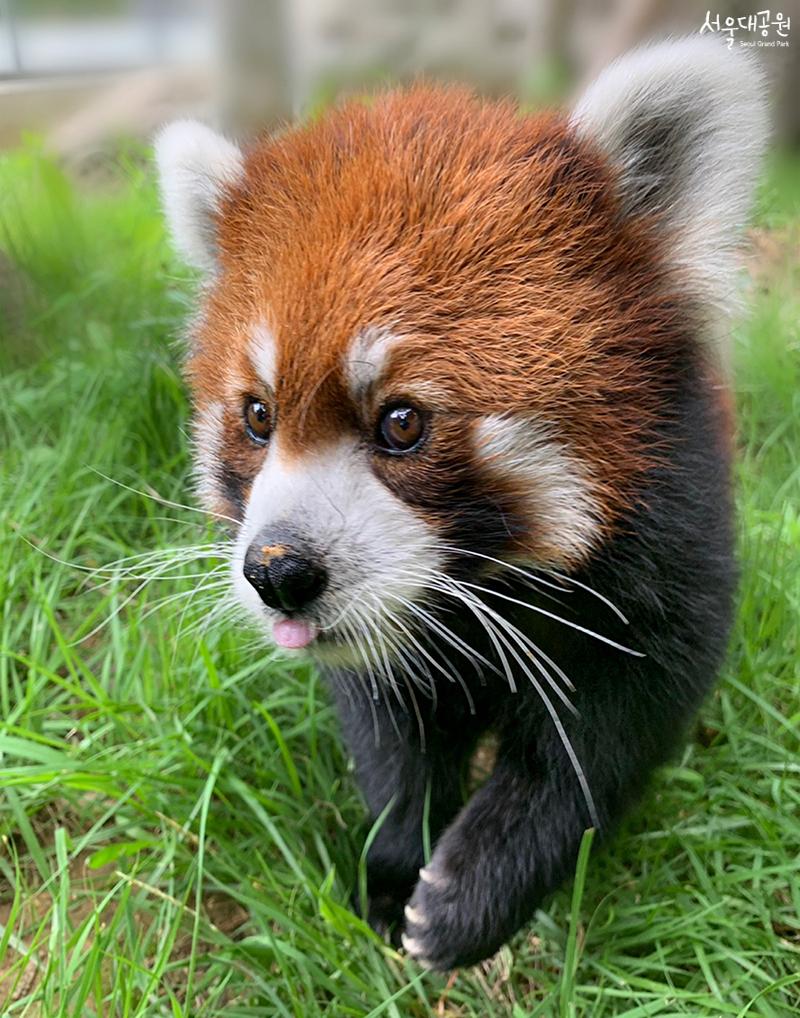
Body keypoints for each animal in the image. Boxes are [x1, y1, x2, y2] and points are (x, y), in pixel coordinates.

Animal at [154, 35, 761, 965]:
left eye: (402, 422)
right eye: (258, 416)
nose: (279, 571)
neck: (481, 584)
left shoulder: (666, 532)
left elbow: (605, 735)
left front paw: (469, 896)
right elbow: (391, 734)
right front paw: (395, 863)